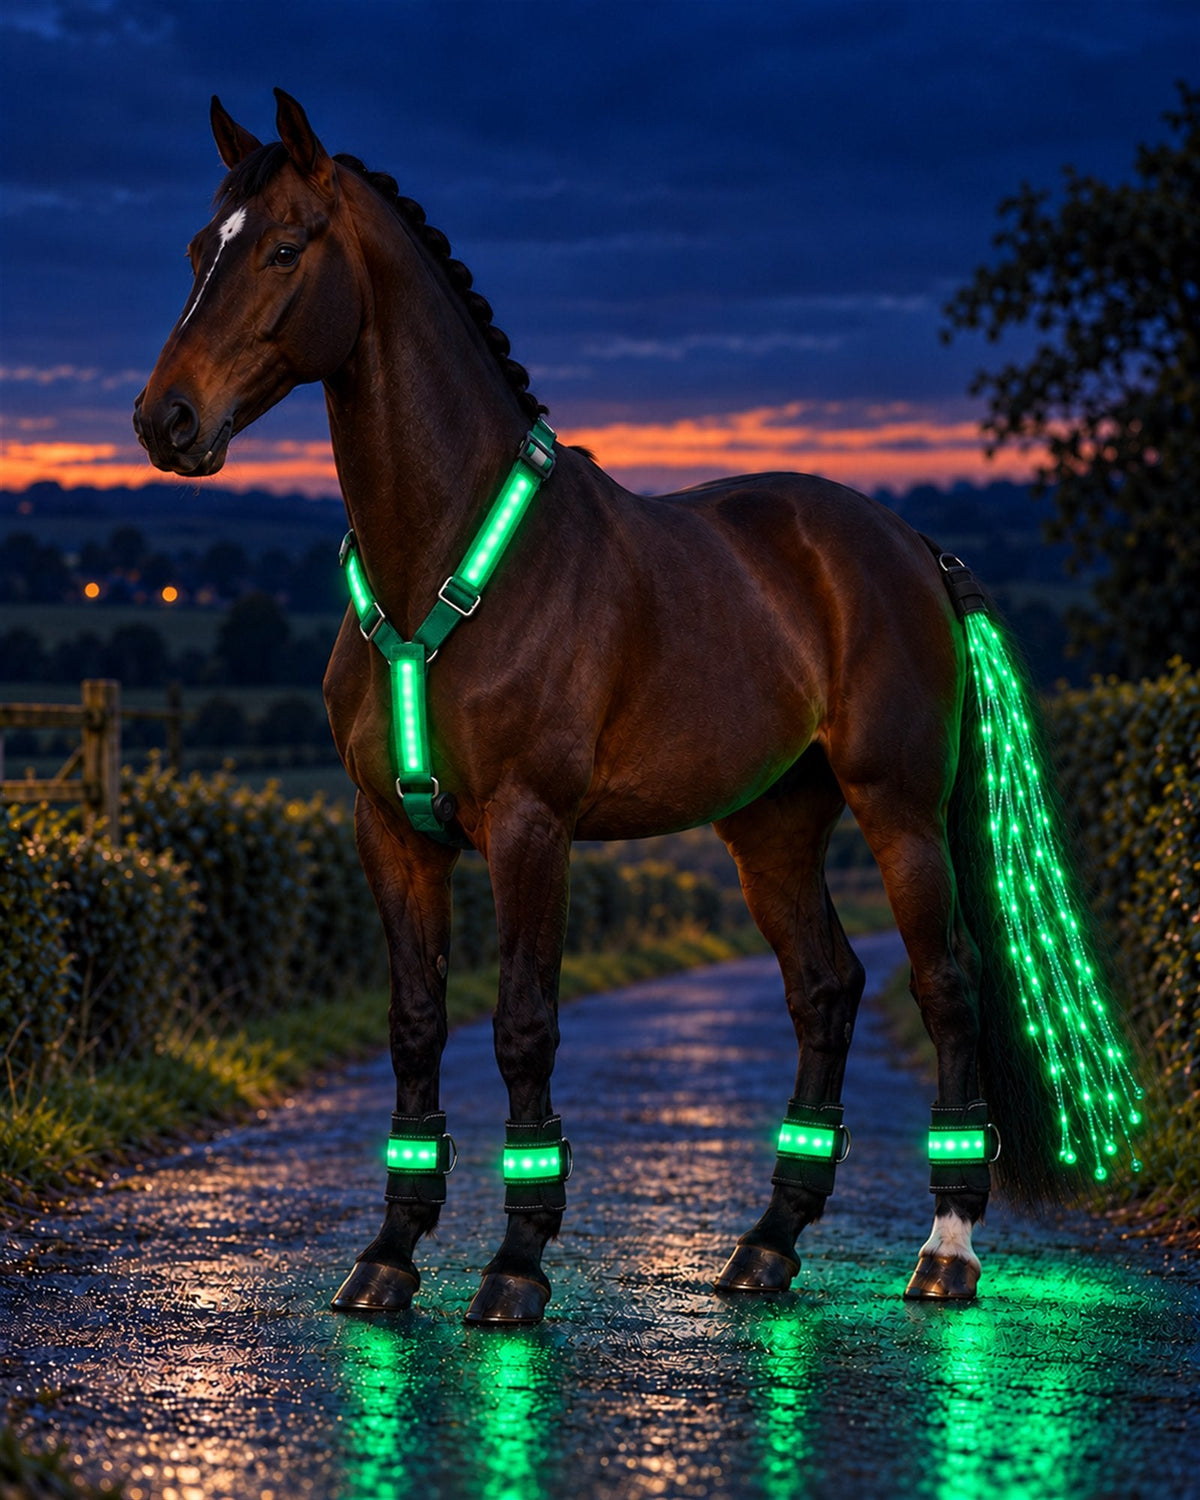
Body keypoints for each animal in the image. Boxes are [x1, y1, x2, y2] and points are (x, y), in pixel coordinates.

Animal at [135, 90, 1139, 1325]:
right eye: (198, 249)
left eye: (283, 246)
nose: (166, 420)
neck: (445, 561)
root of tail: (909, 544)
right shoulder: (390, 833)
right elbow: (416, 1024)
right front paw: (388, 1256)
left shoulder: (532, 827)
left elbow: (524, 1026)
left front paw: (516, 1265)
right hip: (771, 826)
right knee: (826, 988)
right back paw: (767, 1244)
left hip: (898, 809)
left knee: (947, 984)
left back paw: (945, 1250)